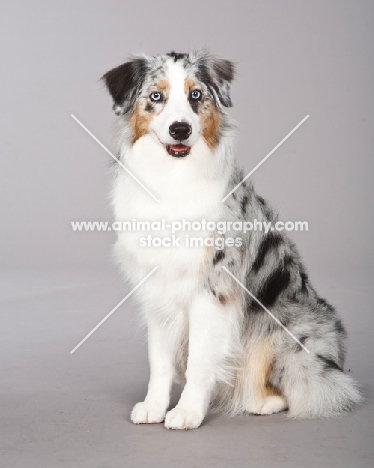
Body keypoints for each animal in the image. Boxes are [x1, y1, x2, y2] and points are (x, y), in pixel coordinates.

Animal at [101, 49, 360, 430]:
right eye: (156, 96)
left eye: (196, 95)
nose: (181, 129)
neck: (173, 178)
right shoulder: (157, 290)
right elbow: (159, 359)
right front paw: (154, 406)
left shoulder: (213, 288)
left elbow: (199, 361)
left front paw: (187, 412)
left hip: (287, 335)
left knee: (305, 386)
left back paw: (263, 402)